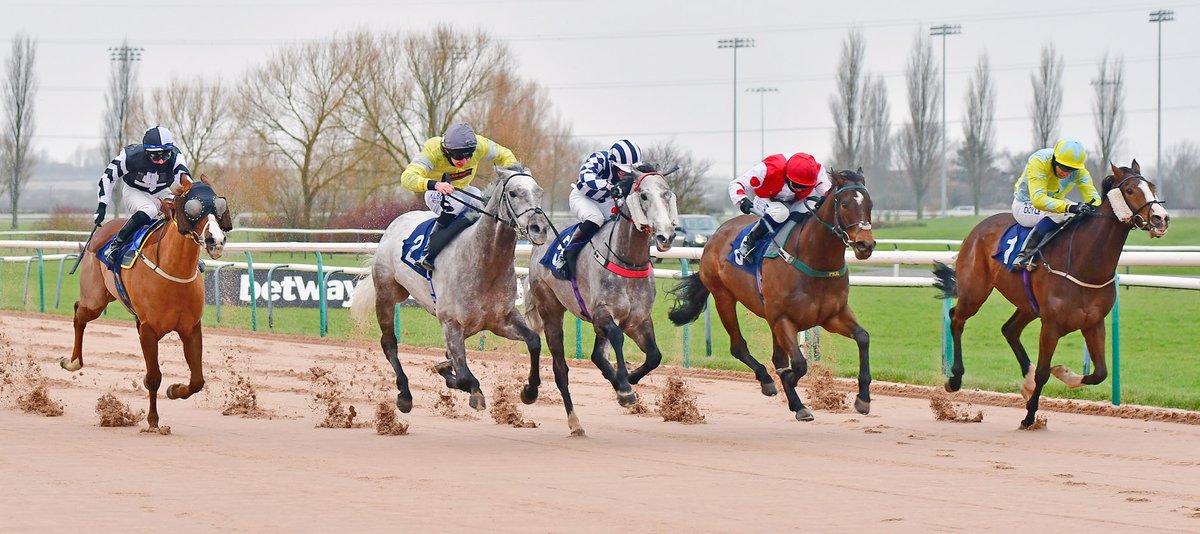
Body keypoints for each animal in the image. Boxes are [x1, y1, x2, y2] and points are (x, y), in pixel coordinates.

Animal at [63, 178, 234, 429]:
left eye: (219, 206)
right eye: (193, 208)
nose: (216, 241)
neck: (174, 271)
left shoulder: (191, 328)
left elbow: (197, 381)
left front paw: (174, 390)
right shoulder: (148, 329)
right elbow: (154, 377)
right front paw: (153, 420)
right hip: (95, 299)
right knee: (79, 312)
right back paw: (73, 361)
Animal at [350, 166, 549, 412]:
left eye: (539, 192)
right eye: (513, 193)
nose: (539, 228)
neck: (486, 264)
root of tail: (395, 224)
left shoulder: (502, 319)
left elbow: (534, 341)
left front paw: (529, 390)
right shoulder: (451, 323)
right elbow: (463, 377)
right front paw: (469, 388)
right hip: (387, 294)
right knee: (389, 344)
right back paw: (405, 394)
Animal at [523, 164, 676, 434]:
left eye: (667, 194)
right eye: (644, 196)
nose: (665, 236)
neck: (627, 260)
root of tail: (539, 245)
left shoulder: (638, 319)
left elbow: (654, 356)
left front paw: (628, 379)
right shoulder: (602, 314)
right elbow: (616, 337)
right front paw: (624, 388)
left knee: (596, 355)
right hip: (550, 308)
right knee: (559, 367)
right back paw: (568, 418)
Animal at [672, 168, 878, 417]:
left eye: (870, 203)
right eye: (845, 204)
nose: (865, 245)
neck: (813, 259)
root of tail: (717, 233)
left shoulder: (832, 315)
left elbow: (863, 338)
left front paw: (863, 398)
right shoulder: (783, 319)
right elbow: (798, 364)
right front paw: (793, 392)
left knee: (776, 356)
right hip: (723, 297)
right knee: (738, 346)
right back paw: (768, 380)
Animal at [931, 160, 1166, 427]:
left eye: (1152, 187)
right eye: (1130, 190)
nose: (1161, 218)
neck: (1085, 263)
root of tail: (979, 227)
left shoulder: (1093, 323)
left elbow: (1100, 373)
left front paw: (1063, 374)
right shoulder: (1051, 325)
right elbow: (1044, 372)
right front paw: (1030, 415)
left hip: (1027, 305)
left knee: (1009, 330)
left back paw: (1026, 380)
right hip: (975, 291)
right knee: (957, 318)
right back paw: (955, 379)